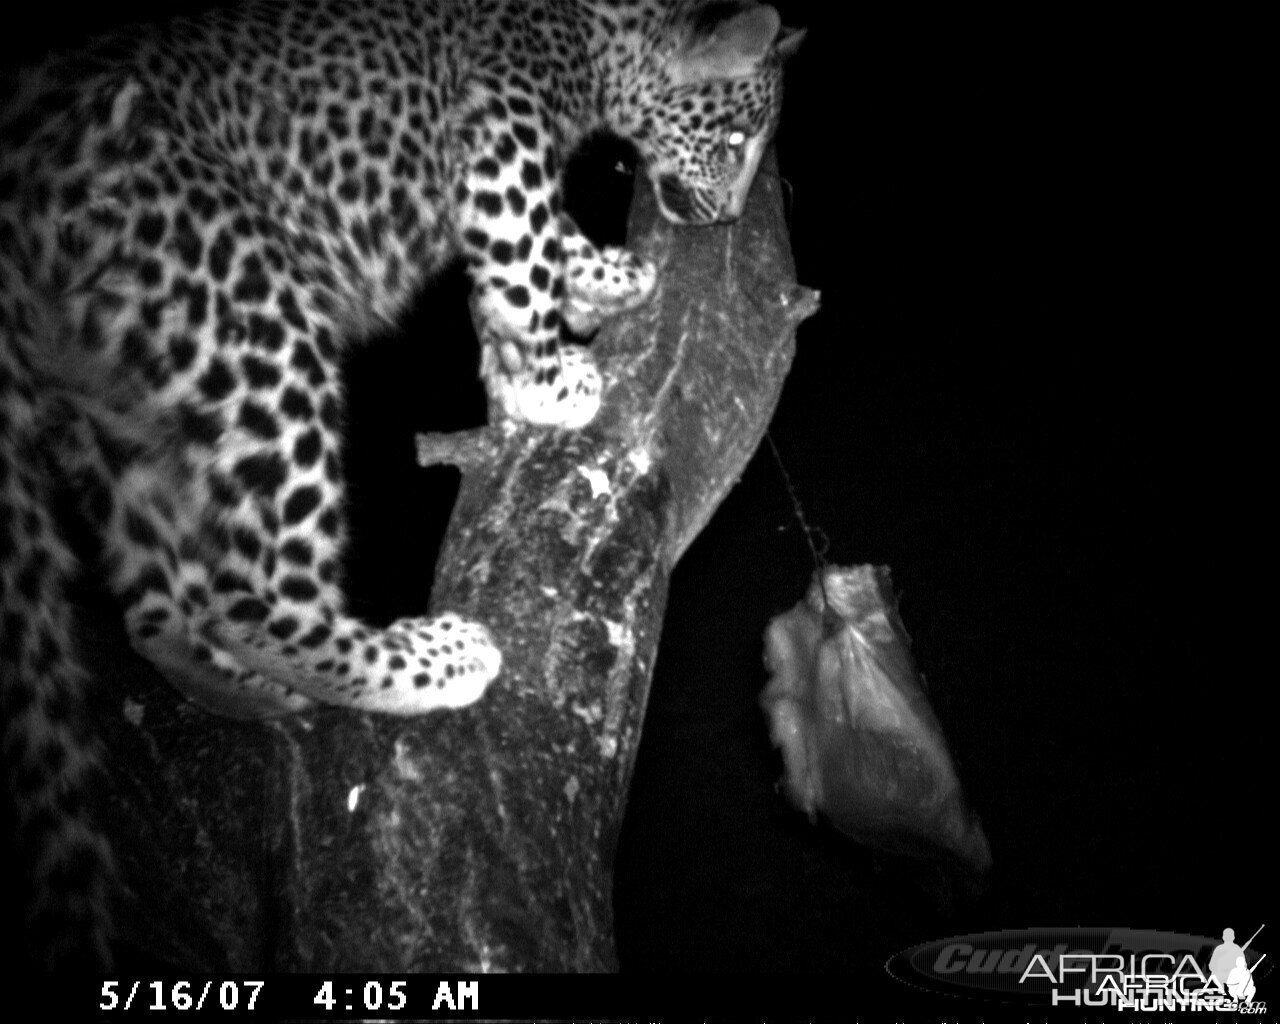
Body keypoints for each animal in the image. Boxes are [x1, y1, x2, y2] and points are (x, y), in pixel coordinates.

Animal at [0, 0, 798, 967]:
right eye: (735, 135)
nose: (728, 216)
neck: (596, 36)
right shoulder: (503, 132)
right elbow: (526, 249)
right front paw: (548, 377)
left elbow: (540, 249)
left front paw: (600, 284)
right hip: (254, 315)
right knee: (257, 594)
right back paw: (425, 661)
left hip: (123, 400)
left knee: (158, 612)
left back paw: (236, 686)